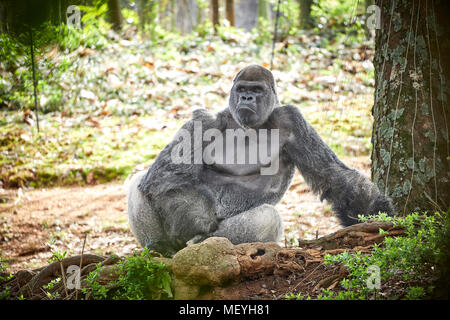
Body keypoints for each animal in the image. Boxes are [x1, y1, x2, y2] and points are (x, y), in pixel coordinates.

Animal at [127, 64, 394, 255]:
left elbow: (334, 176)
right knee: (142, 181)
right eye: (242, 90)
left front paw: (378, 213)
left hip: (217, 240)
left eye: (256, 90)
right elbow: (168, 174)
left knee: (266, 219)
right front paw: (191, 219)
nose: (246, 99)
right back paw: (159, 247)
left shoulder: (290, 119)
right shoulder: (203, 121)